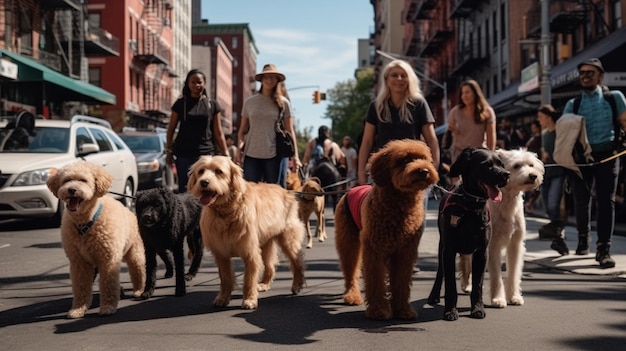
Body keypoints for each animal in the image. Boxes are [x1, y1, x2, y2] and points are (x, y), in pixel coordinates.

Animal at [46, 162, 145, 320]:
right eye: (66, 180)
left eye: (83, 180)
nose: (71, 189)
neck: (85, 223)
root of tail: (130, 211)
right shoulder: (79, 262)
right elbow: (81, 286)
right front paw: (78, 309)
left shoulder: (108, 260)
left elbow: (108, 284)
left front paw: (108, 307)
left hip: (134, 252)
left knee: (138, 270)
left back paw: (139, 290)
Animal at [185, 155, 304, 310]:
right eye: (201, 171)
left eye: (219, 171)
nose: (204, 182)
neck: (226, 212)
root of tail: (286, 191)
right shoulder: (221, 253)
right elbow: (225, 278)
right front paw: (223, 298)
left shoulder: (250, 252)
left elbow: (249, 279)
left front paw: (250, 300)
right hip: (265, 243)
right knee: (270, 265)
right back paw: (264, 284)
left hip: (288, 239)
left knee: (297, 262)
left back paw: (297, 284)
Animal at [334, 139, 436, 320]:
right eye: (404, 160)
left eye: (424, 158)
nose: (423, 171)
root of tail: (352, 188)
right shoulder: (374, 250)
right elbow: (375, 281)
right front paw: (379, 310)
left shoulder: (405, 252)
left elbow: (401, 282)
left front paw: (403, 310)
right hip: (348, 241)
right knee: (351, 271)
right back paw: (352, 295)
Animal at [424, 148, 508, 322]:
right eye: (487, 165)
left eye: (501, 164)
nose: (506, 175)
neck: (472, 208)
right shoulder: (449, 250)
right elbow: (450, 284)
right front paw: (450, 311)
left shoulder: (482, 252)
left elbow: (478, 285)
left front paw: (477, 308)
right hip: (441, 246)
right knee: (440, 272)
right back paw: (434, 295)